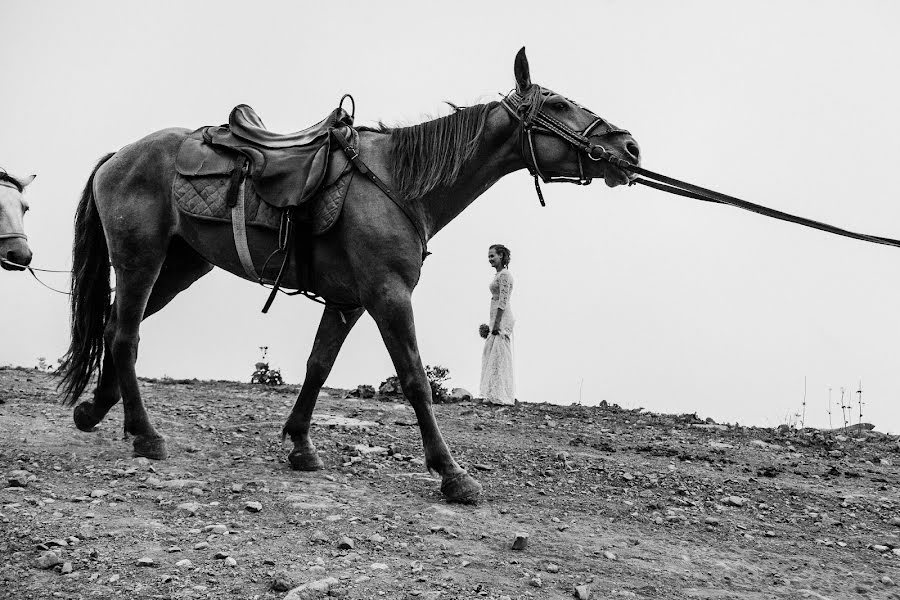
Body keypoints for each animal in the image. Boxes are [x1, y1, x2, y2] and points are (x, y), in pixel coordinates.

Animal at [59, 50, 636, 502]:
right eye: (557, 105)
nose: (629, 147)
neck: (400, 183)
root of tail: (120, 156)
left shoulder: (349, 301)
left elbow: (318, 366)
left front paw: (300, 445)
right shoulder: (388, 295)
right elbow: (415, 380)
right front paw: (452, 475)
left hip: (179, 267)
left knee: (115, 326)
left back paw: (97, 411)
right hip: (141, 260)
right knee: (126, 334)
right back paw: (144, 434)